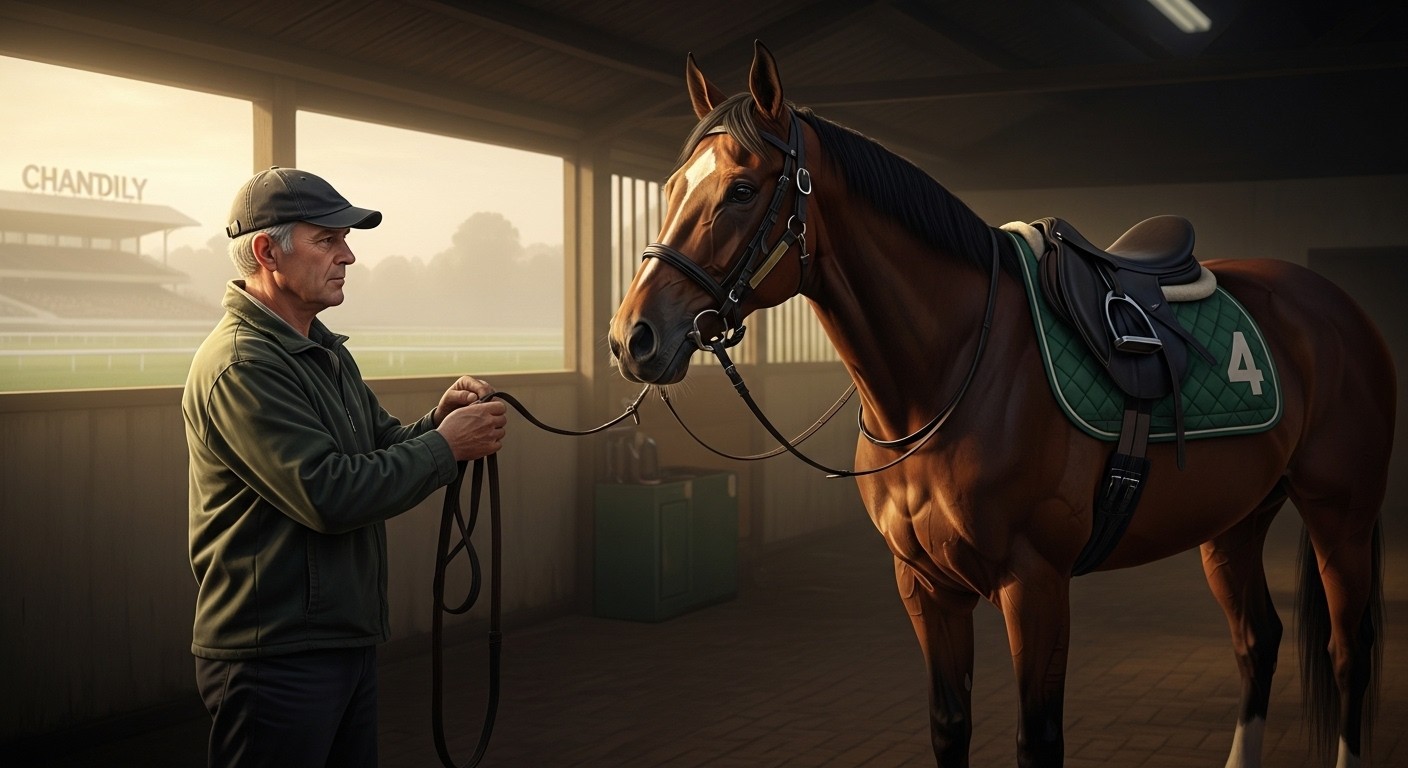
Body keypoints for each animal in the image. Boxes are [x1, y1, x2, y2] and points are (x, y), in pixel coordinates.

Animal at [606, 42, 1395, 768]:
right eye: (671, 186)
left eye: (742, 189)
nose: (633, 337)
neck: (953, 371)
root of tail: (1339, 307)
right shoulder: (925, 586)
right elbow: (949, 725)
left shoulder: (1035, 583)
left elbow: (1037, 739)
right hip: (1234, 521)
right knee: (1257, 640)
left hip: (1340, 515)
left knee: (1348, 650)